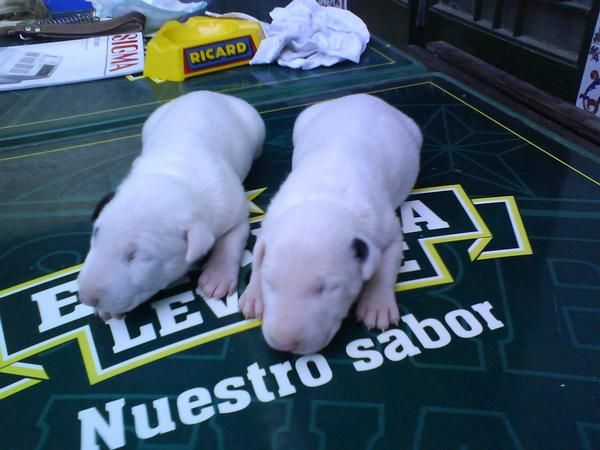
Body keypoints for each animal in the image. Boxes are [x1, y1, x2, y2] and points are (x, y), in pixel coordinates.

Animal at [77, 91, 264, 320]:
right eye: (95, 235)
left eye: (136, 257)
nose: (86, 298)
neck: (174, 174)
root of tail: (207, 93)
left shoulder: (232, 208)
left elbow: (230, 240)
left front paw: (217, 275)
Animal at [239, 94, 422, 356]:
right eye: (270, 282)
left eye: (327, 289)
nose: (284, 344)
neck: (324, 196)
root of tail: (362, 96)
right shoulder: (270, 222)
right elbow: (258, 256)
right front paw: (253, 295)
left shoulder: (387, 228)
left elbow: (385, 266)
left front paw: (377, 305)